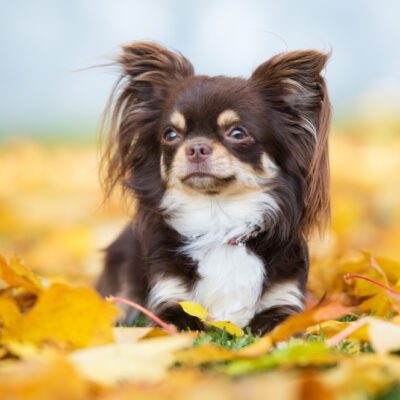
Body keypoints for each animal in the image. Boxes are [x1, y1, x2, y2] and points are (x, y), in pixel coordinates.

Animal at [97, 40, 332, 334]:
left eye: (237, 133)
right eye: (170, 135)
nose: (197, 147)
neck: (219, 221)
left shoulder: (284, 303)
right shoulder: (169, 299)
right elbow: (176, 323)